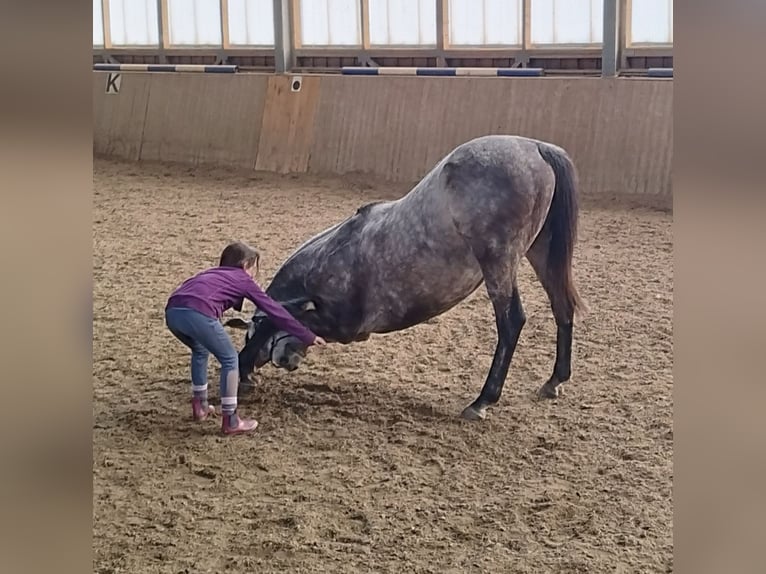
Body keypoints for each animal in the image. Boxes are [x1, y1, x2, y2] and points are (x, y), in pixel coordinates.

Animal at [228, 135, 588, 424]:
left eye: (247, 333)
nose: (287, 361)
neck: (333, 253)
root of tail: (536, 147)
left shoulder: (342, 322)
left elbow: (281, 320)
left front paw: (243, 370)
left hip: (498, 260)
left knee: (511, 321)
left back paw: (482, 401)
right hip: (541, 251)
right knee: (561, 306)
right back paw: (555, 381)